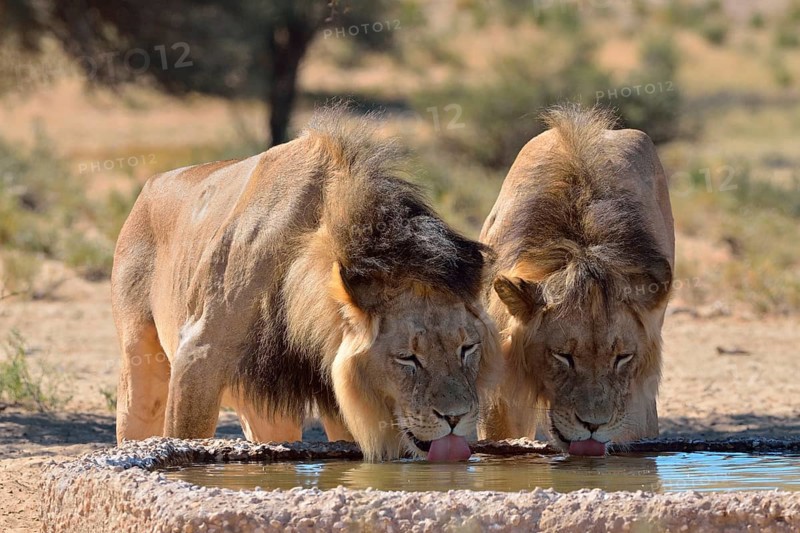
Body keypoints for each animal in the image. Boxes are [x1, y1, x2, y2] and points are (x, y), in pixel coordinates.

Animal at [111, 108, 501, 462]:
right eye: (408, 358)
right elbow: (187, 435)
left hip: (267, 412)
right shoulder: (197, 357)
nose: (456, 418)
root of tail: (152, 184)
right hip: (141, 370)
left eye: (467, 349)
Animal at [477, 105, 675, 456]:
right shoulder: (501, 387)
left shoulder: (632, 401)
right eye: (562, 356)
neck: (582, 246)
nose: (593, 425)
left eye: (622, 357)